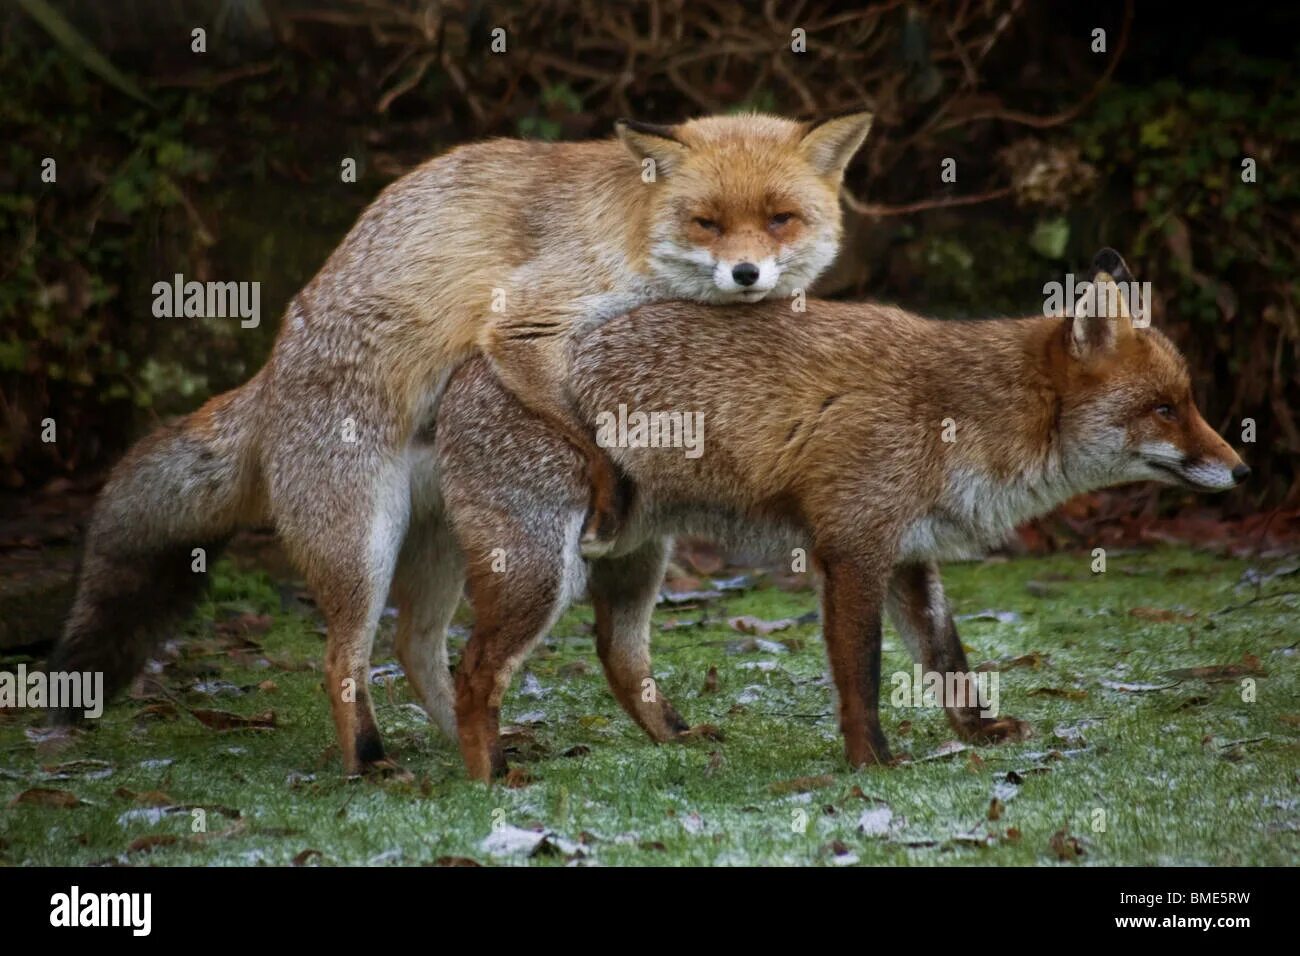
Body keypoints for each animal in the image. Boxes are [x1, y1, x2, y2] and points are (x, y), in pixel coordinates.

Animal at [48, 110, 873, 780]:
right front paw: (607, 481)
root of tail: (271, 374)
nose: (746, 273)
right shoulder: (528, 322)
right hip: (364, 545)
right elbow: (578, 426)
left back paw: (472, 749)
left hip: (445, 542)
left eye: (780, 219)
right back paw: (372, 762)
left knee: (418, 649)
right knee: (342, 659)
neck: (635, 230)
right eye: (706, 222)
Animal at [434, 251, 1248, 780]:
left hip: (636, 560)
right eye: (1166, 409)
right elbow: (862, 675)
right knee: (470, 671)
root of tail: (470, 366)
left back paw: (677, 739)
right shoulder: (852, 548)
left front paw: (978, 733)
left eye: (1187, 402)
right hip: (544, 571)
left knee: (616, 654)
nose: (1242, 471)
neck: (958, 413)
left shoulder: (910, 552)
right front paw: (872, 764)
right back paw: (490, 776)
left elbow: (947, 660)